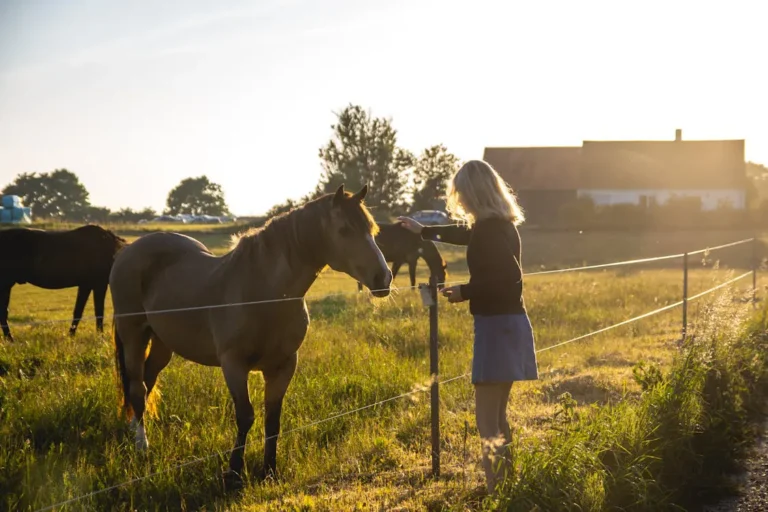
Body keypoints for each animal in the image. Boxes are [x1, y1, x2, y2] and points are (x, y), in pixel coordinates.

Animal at [109, 184, 392, 486]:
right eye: (344, 230)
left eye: (372, 230)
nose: (383, 278)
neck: (264, 293)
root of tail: (128, 251)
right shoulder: (233, 365)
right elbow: (245, 416)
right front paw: (233, 473)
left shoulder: (284, 365)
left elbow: (273, 420)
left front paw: (269, 470)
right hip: (133, 335)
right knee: (137, 388)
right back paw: (142, 445)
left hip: (163, 342)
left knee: (147, 380)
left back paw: (135, 430)